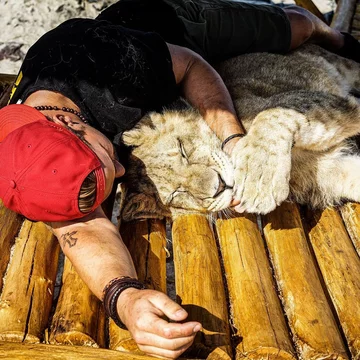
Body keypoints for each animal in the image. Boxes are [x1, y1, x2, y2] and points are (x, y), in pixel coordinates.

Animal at [120, 44, 360, 221]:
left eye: (182, 150)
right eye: (176, 194)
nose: (218, 186)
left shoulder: (311, 101)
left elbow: (271, 115)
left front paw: (260, 178)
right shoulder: (327, 171)